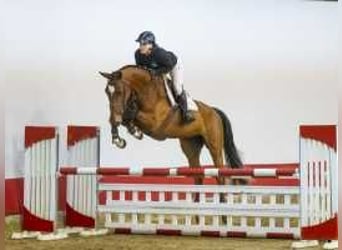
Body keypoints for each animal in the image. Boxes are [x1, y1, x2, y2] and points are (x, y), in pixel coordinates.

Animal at [99, 65, 246, 188]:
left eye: (119, 91)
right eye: (106, 91)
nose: (114, 118)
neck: (147, 91)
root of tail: (214, 111)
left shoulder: (155, 124)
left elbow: (131, 115)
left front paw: (133, 131)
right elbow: (126, 117)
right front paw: (119, 138)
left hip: (214, 146)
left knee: (221, 176)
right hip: (190, 146)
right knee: (198, 175)